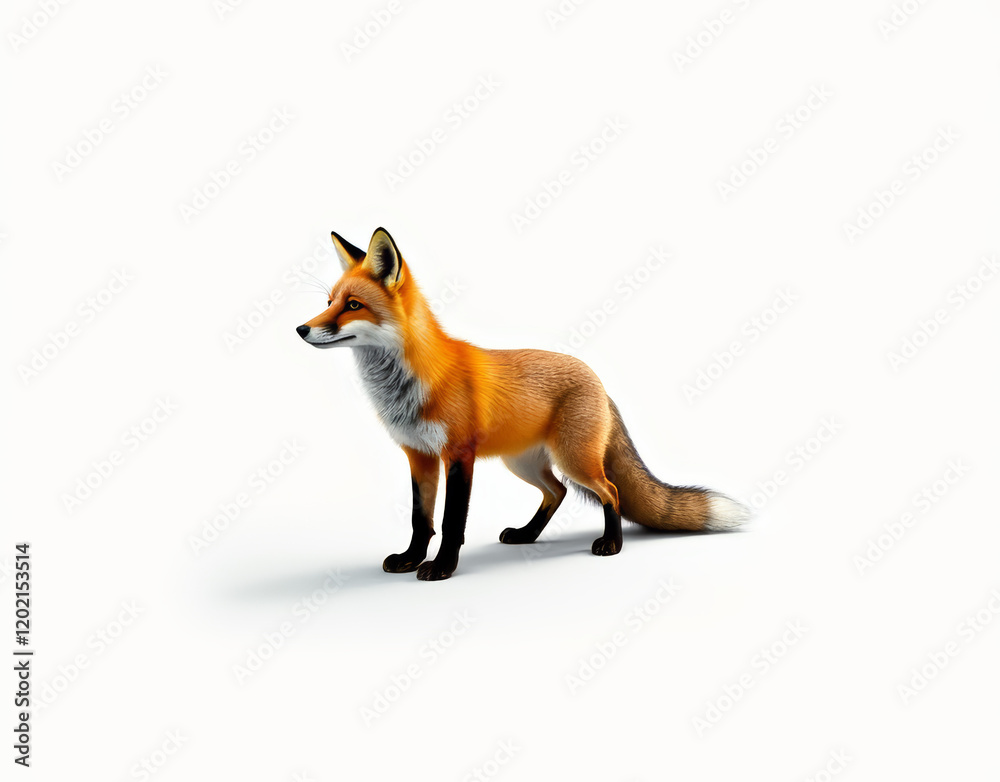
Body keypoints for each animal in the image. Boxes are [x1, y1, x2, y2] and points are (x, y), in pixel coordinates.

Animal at [296, 227, 749, 580]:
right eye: (328, 302)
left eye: (353, 306)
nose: (301, 329)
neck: (408, 384)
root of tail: (597, 380)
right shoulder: (419, 455)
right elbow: (420, 519)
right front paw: (411, 559)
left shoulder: (458, 455)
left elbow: (451, 521)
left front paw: (441, 567)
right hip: (523, 462)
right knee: (558, 492)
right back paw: (527, 535)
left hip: (573, 458)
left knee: (611, 491)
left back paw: (611, 543)